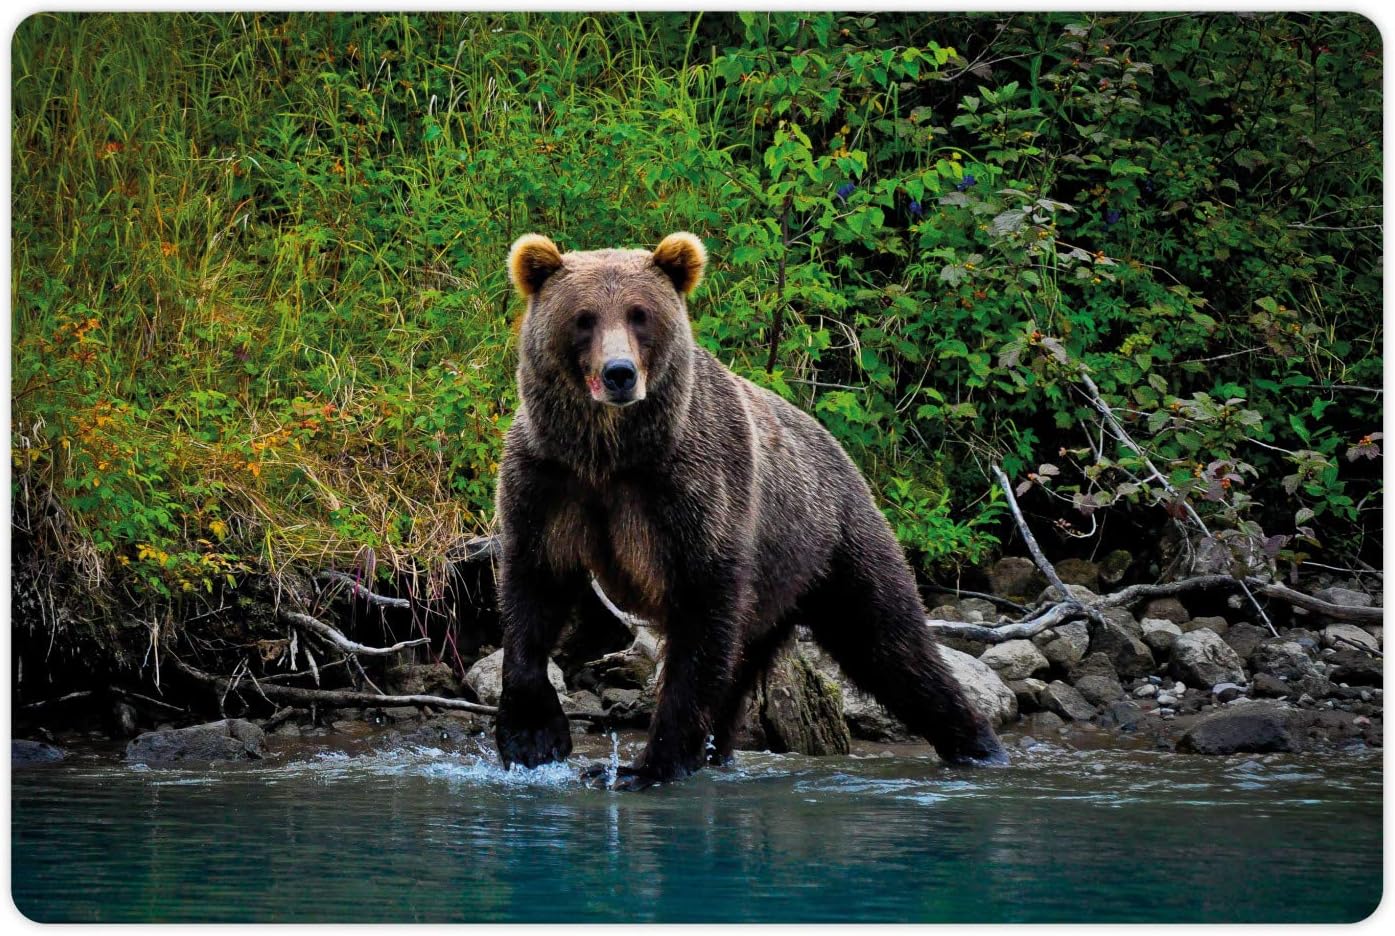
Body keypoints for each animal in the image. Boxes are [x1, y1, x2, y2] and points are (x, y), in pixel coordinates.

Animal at [494, 231, 1007, 789]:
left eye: (639, 315)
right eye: (583, 317)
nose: (619, 374)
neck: (608, 454)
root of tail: (840, 450)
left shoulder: (692, 491)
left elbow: (699, 619)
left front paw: (647, 766)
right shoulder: (549, 480)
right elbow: (533, 588)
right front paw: (532, 738)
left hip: (831, 543)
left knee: (890, 644)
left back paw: (979, 745)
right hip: (774, 584)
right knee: (754, 664)